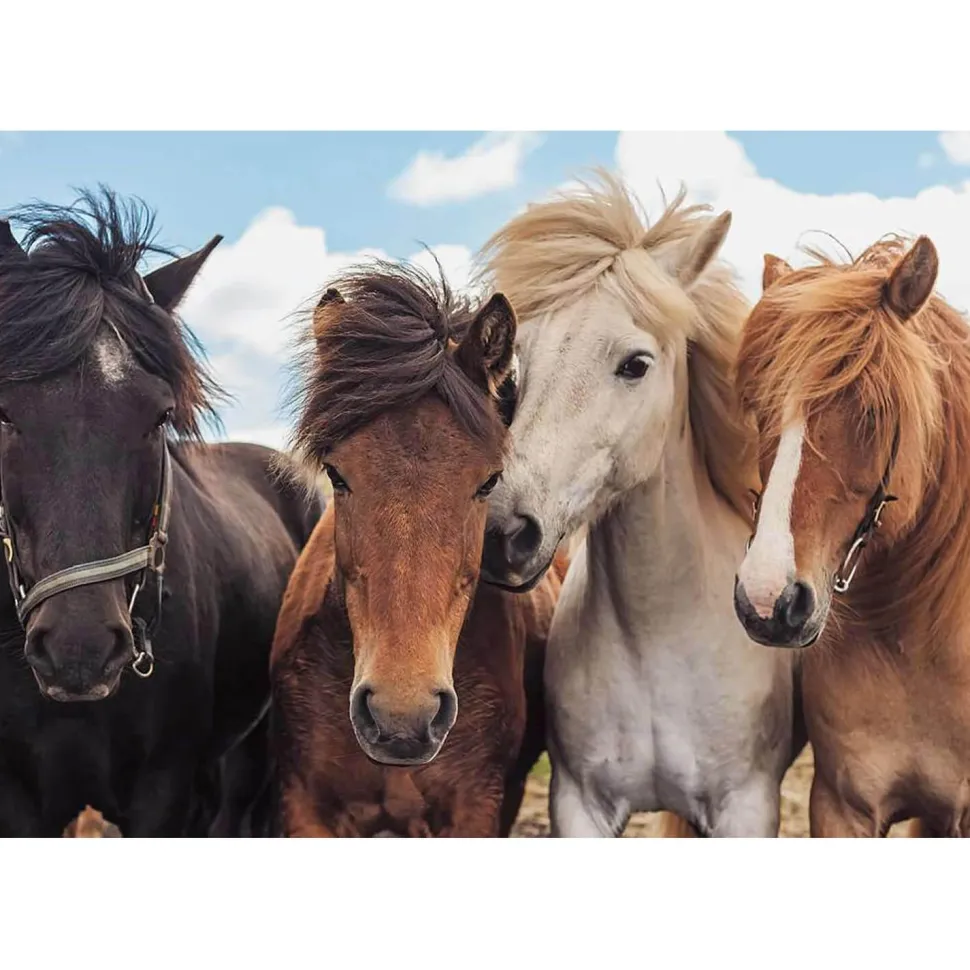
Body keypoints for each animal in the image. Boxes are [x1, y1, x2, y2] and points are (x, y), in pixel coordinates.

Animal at [478, 172, 801, 837]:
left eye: (635, 364)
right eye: (519, 367)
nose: (503, 535)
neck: (657, 640)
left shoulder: (747, 807)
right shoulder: (578, 804)